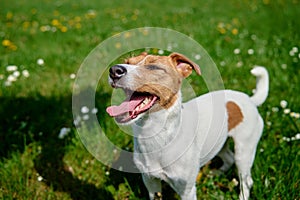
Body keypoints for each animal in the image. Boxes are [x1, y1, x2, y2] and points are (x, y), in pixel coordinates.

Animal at [106, 52, 270, 199]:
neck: (157, 135)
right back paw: (215, 173)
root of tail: (248, 99)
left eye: (153, 67)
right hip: (219, 143)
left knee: (246, 181)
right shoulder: (151, 182)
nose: (114, 70)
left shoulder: (186, 190)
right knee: (228, 158)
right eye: (128, 62)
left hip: (244, 152)